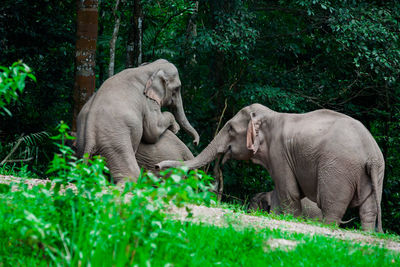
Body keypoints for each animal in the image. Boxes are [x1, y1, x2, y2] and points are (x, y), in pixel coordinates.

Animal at [158, 103, 386, 232]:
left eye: (230, 129)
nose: (158, 166)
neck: (270, 116)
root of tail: (372, 155)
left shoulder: (279, 153)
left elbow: (290, 193)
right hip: (373, 173)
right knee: (368, 209)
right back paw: (367, 233)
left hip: (338, 169)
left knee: (331, 207)